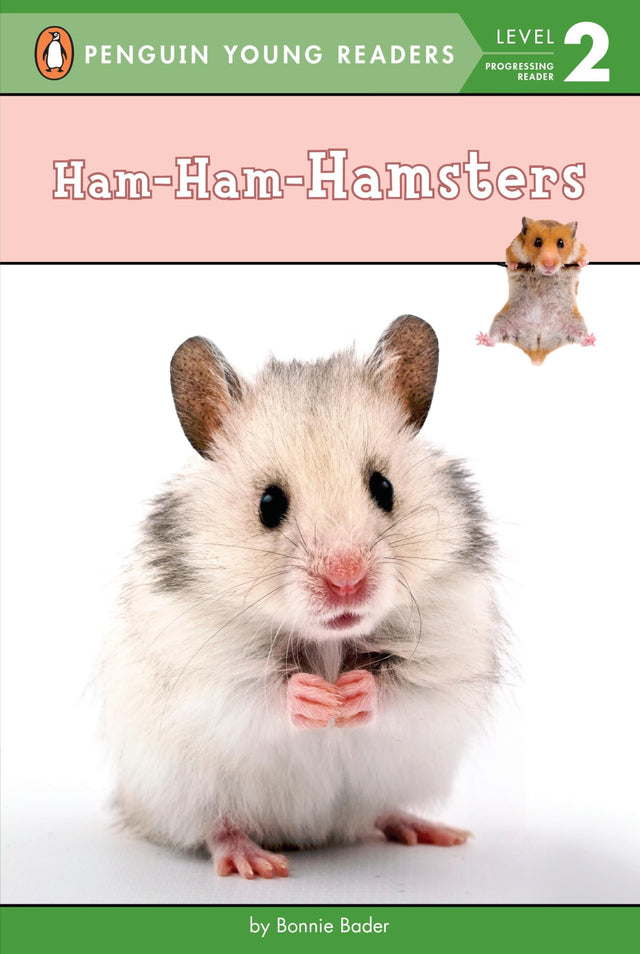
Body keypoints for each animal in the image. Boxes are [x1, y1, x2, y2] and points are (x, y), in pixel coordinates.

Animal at [99, 315, 503, 879]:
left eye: (384, 487)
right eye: (269, 504)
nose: (346, 581)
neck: (328, 641)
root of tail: (309, 835)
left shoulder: (446, 667)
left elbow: (403, 691)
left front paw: (351, 694)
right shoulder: (203, 677)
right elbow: (258, 695)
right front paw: (317, 698)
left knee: (380, 811)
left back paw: (432, 831)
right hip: (177, 792)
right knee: (215, 826)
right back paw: (255, 862)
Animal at [477, 217, 595, 365]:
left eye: (561, 243)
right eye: (537, 242)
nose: (549, 265)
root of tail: (538, 351)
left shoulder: (580, 249)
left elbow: (579, 261)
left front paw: (584, 262)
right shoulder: (512, 248)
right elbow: (511, 262)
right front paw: (513, 265)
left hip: (577, 324)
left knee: (580, 339)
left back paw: (591, 339)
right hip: (500, 322)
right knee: (494, 339)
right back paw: (481, 338)